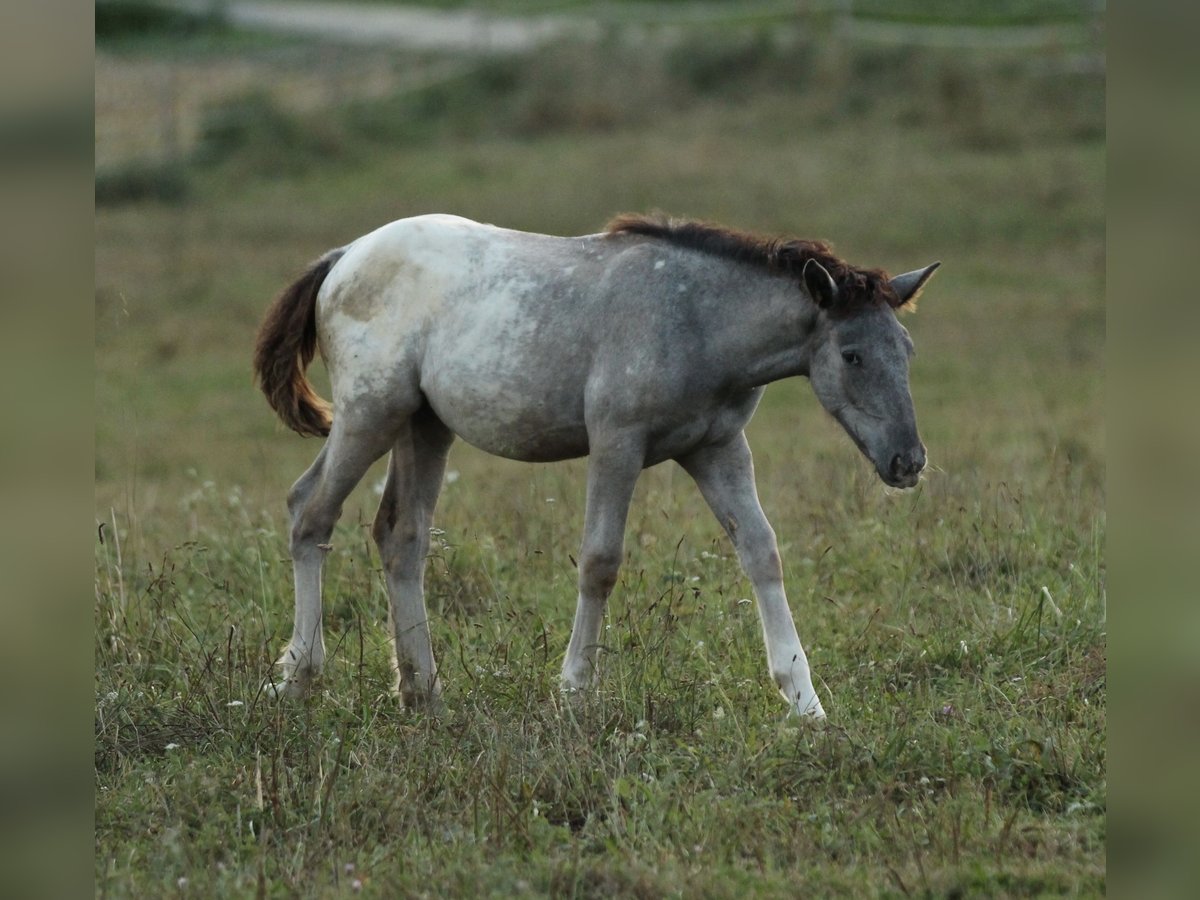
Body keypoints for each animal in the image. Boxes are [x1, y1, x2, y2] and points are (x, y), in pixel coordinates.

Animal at [258, 211, 940, 720]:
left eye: (907, 349)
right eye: (851, 355)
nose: (908, 461)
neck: (695, 320)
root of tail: (344, 256)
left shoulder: (718, 448)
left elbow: (761, 552)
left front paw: (805, 703)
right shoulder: (617, 443)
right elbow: (600, 561)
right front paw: (575, 691)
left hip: (424, 427)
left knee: (400, 537)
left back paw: (421, 692)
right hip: (369, 414)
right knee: (309, 511)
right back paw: (298, 677)